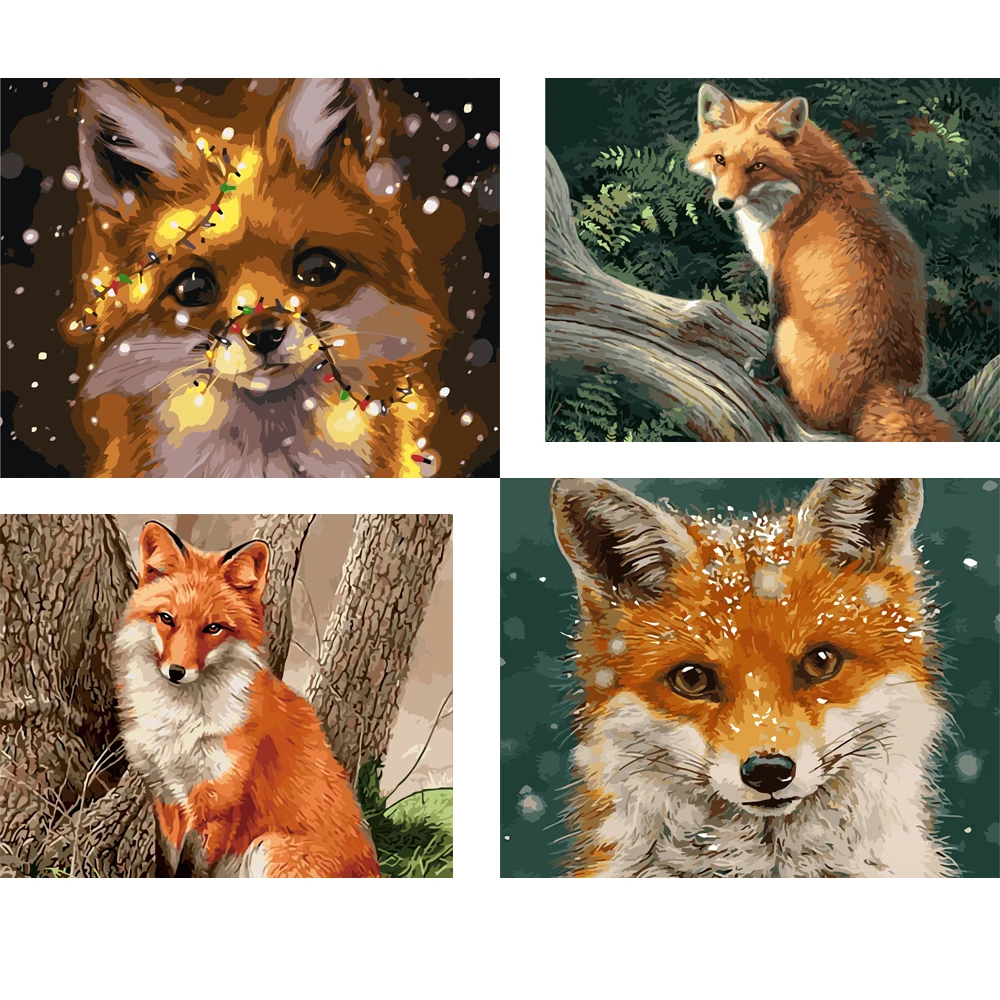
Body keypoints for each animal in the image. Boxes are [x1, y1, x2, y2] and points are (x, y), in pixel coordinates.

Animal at [113, 521, 380, 877]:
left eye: (213, 628)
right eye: (166, 618)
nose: (176, 671)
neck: (181, 726)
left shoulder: (216, 807)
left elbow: (191, 870)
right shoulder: (165, 798)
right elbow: (165, 867)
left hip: (268, 848)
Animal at [686, 83, 959, 442]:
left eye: (757, 166)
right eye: (720, 160)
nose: (725, 202)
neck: (806, 186)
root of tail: (886, 385)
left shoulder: (778, 276)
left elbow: (770, 332)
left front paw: (763, 371)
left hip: (790, 334)